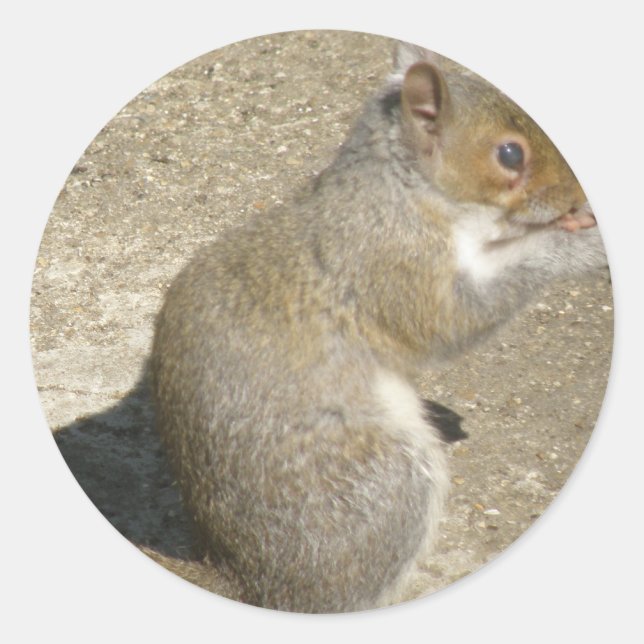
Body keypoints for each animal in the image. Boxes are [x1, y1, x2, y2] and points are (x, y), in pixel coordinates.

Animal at [150, 41, 607, 613]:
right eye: (509, 154)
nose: (575, 196)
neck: (401, 192)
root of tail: (243, 579)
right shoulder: (392, 265)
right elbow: (453, 320)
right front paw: (580, 246)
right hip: (384, 480)